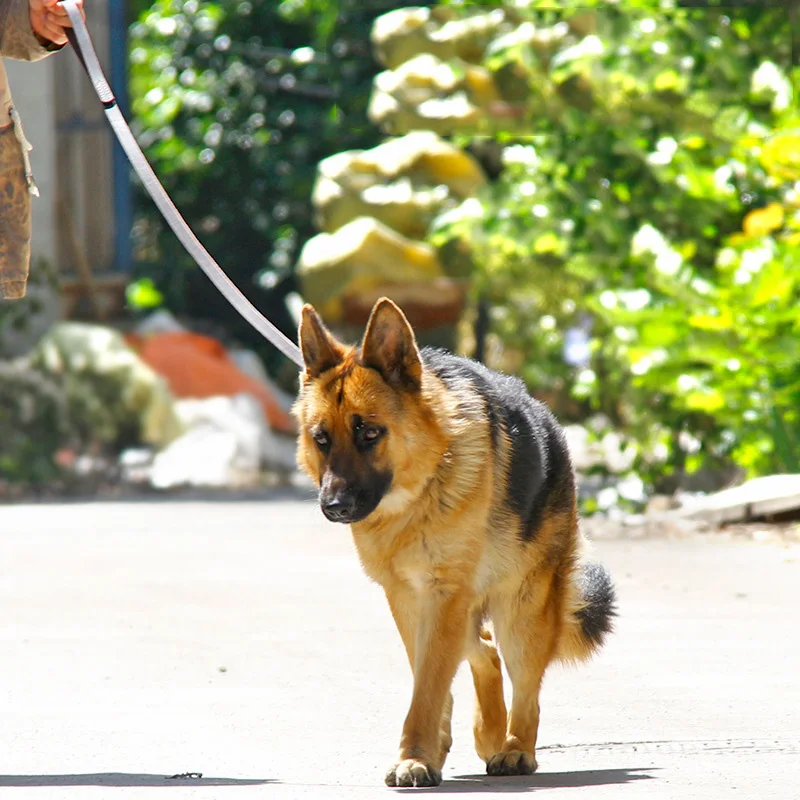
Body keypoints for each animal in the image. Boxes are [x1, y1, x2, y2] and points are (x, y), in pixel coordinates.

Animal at [296, 298, 616, 788]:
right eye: (321, 439)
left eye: (370, 433)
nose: (334, 506)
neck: (420, 491)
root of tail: (549, 420)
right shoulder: (408, 597)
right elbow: (427, 679)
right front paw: (428, 751)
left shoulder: (442, 596)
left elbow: (429, 685)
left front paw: (414, 757)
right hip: (461, 610)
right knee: (484, 651)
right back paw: (488, 733)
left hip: (521, 612)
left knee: (525, 686)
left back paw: (515, 749)